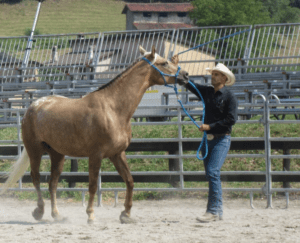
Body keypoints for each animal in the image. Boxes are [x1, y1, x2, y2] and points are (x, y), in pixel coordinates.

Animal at [0, 45, 188, 224]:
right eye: (164, 63)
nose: (185, 75)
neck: (113, 109)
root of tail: (34, 106)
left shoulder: (117, 154)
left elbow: (129, 181)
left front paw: (126, 214)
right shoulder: (96, 155)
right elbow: (92, 185)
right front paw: (91, 215)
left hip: (57, 154)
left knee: (52, 183)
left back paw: (57, 215)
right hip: (35, 151)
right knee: (36, 178)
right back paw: (39, 212)